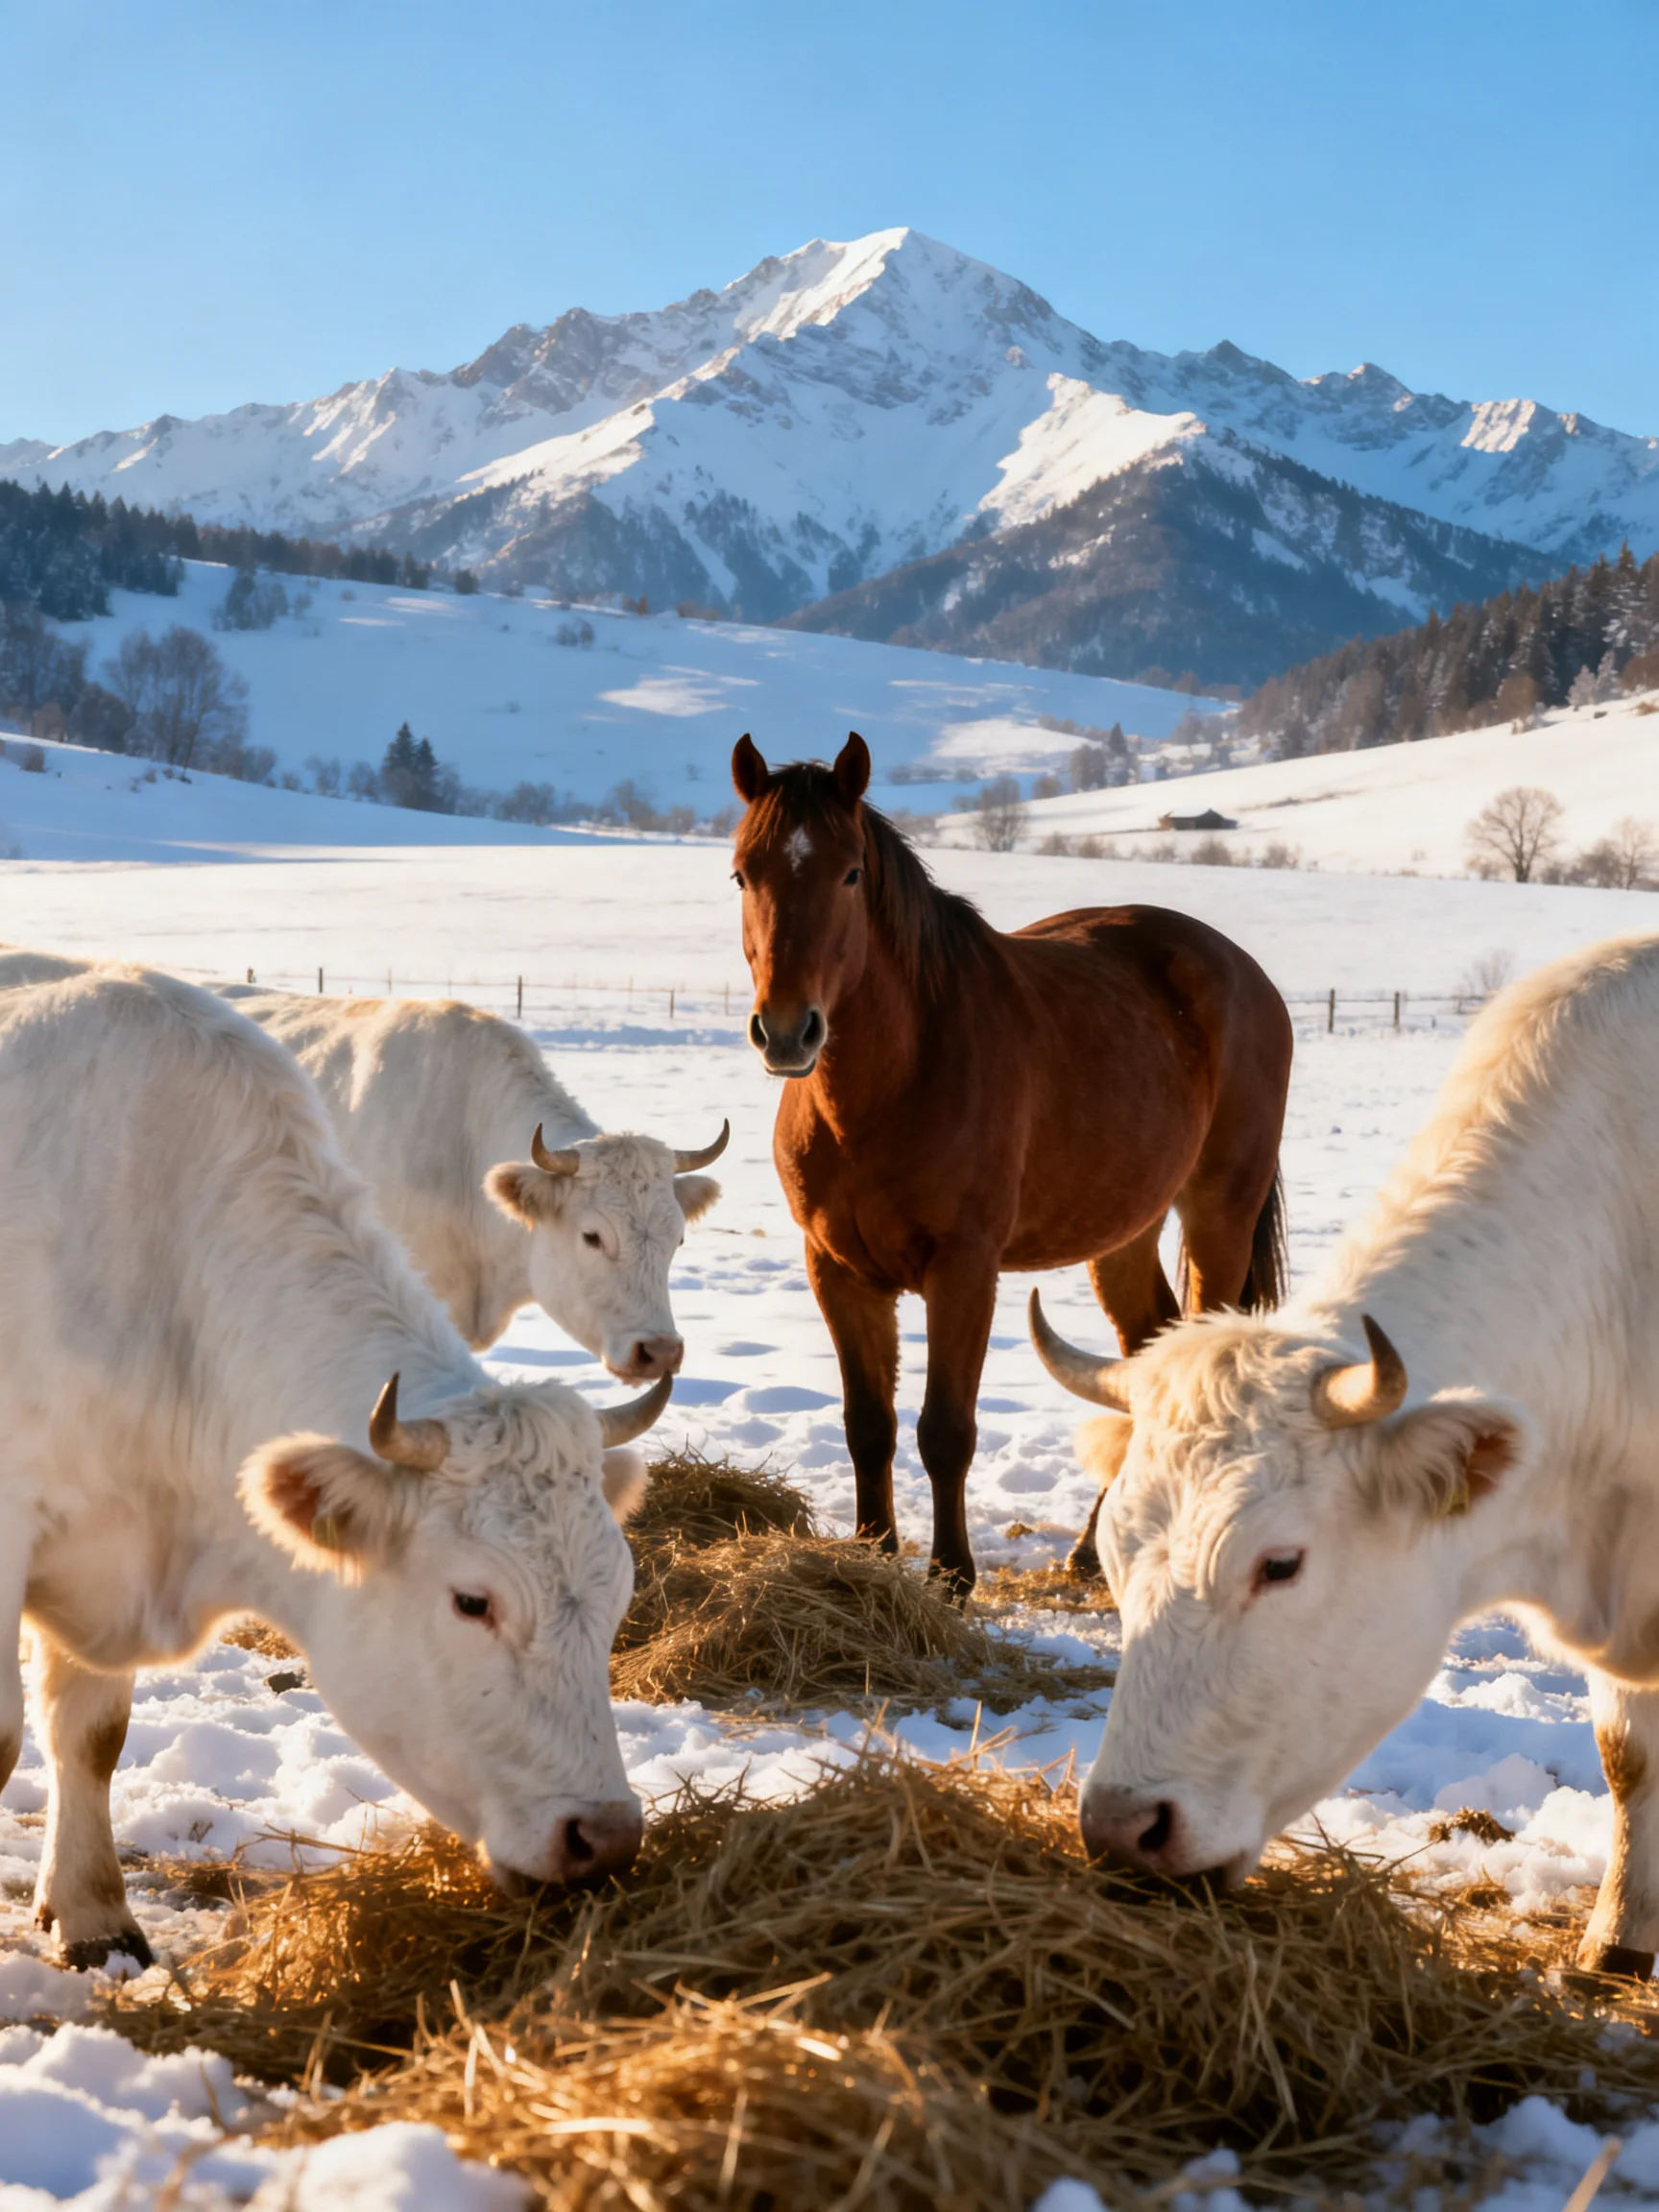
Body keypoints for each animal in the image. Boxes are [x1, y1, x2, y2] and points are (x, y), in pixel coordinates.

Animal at [730, 731, 1294, 1594]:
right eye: (742, 873)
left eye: (850, 873)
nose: (788, 1031)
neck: (894, 1079)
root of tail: (1245, 974)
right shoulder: (836, 1268)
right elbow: (868, 1423)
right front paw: (873, 1553)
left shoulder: (964, 1268)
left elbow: (945, 1430)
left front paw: (951, 1575)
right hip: (1122, 1232)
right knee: (1146, 1350)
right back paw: (1095, 1546)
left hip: (1219, 1216)